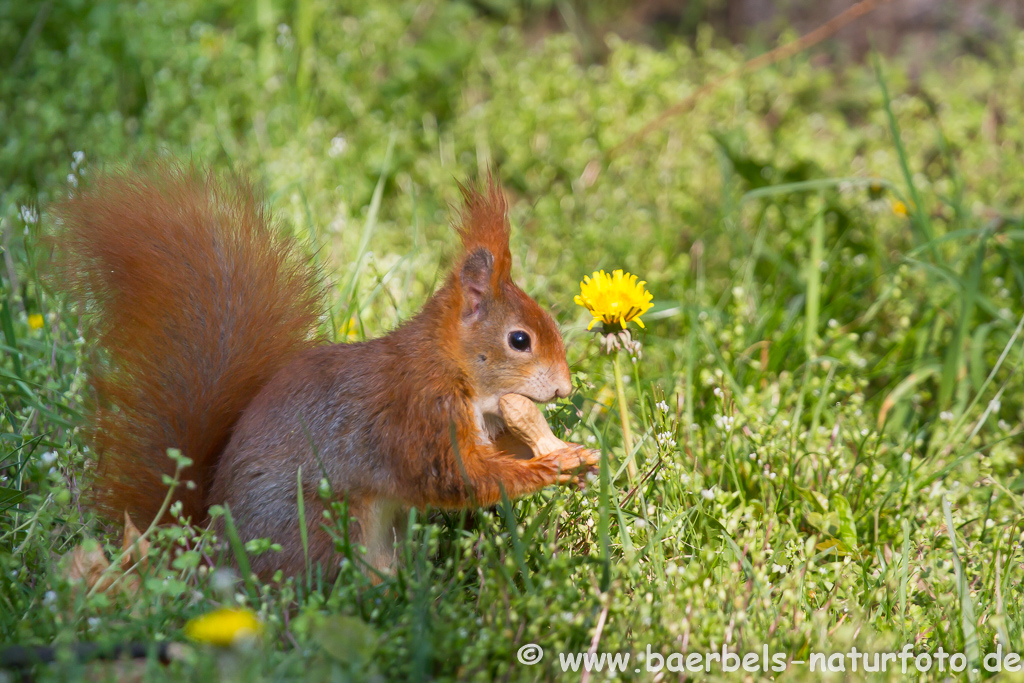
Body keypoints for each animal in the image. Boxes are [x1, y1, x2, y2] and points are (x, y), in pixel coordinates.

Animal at [54, 162, 598, 581]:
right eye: (520, 340)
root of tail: (207, 551)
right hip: (322, 524)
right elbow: (457, 476)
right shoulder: (416, 412)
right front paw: (552, 465)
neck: (450, 365)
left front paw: (574, 454)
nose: (565, 387)